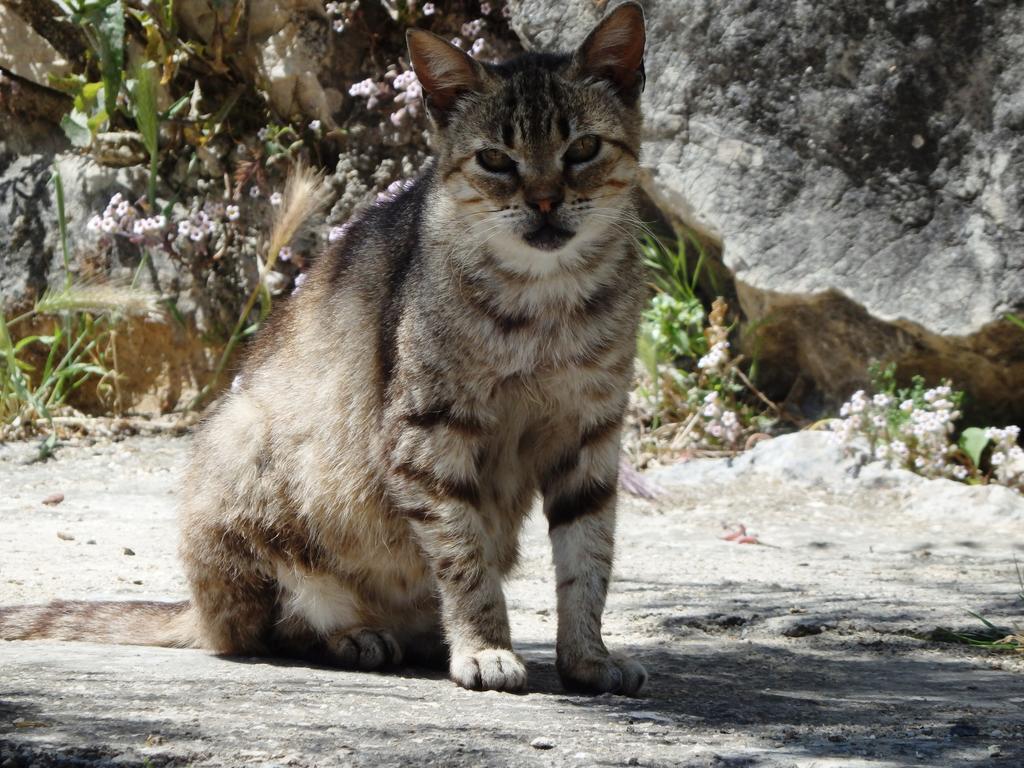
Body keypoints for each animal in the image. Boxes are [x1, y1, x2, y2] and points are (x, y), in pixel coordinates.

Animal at [2, 0, 647, 696]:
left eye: (582, 148)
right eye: (496, 160)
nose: (546, 200)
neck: (547, 305)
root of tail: (198, 614)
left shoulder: (590, 434)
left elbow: (588, 561)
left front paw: (588, 656)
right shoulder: (429, 435)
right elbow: (464, 558)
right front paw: (485, 647)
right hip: (243, 448)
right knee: (273, 627)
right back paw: (357, 636)